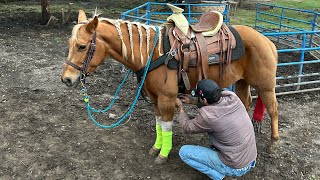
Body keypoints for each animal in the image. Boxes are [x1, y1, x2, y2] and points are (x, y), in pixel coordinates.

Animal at [60, 8, 278, 163]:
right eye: (69, 44)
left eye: (82, 46)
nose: (66, 79)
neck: (151, 53)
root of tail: (267, 41)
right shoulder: (155, 99)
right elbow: (158, 125)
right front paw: (156, 148)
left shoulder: (167, 99)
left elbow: (166, 126)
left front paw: (163, 155)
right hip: (242, 82)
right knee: (246, 103)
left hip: (265, 85)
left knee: (273, 109)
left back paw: (273, 144)